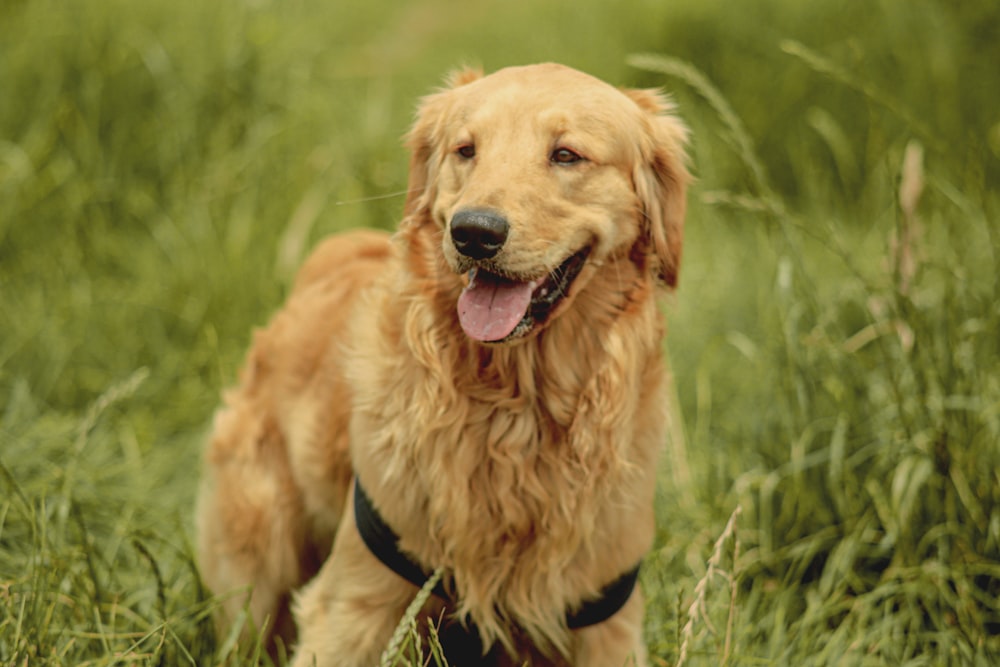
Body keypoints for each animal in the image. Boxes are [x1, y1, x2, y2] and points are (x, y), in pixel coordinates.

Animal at [195, 64, 688, 667]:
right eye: (466, 150)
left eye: (566, 155)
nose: (474, 232)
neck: (515, 410)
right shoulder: (353, 605)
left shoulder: (605, 621)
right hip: (257, 569)